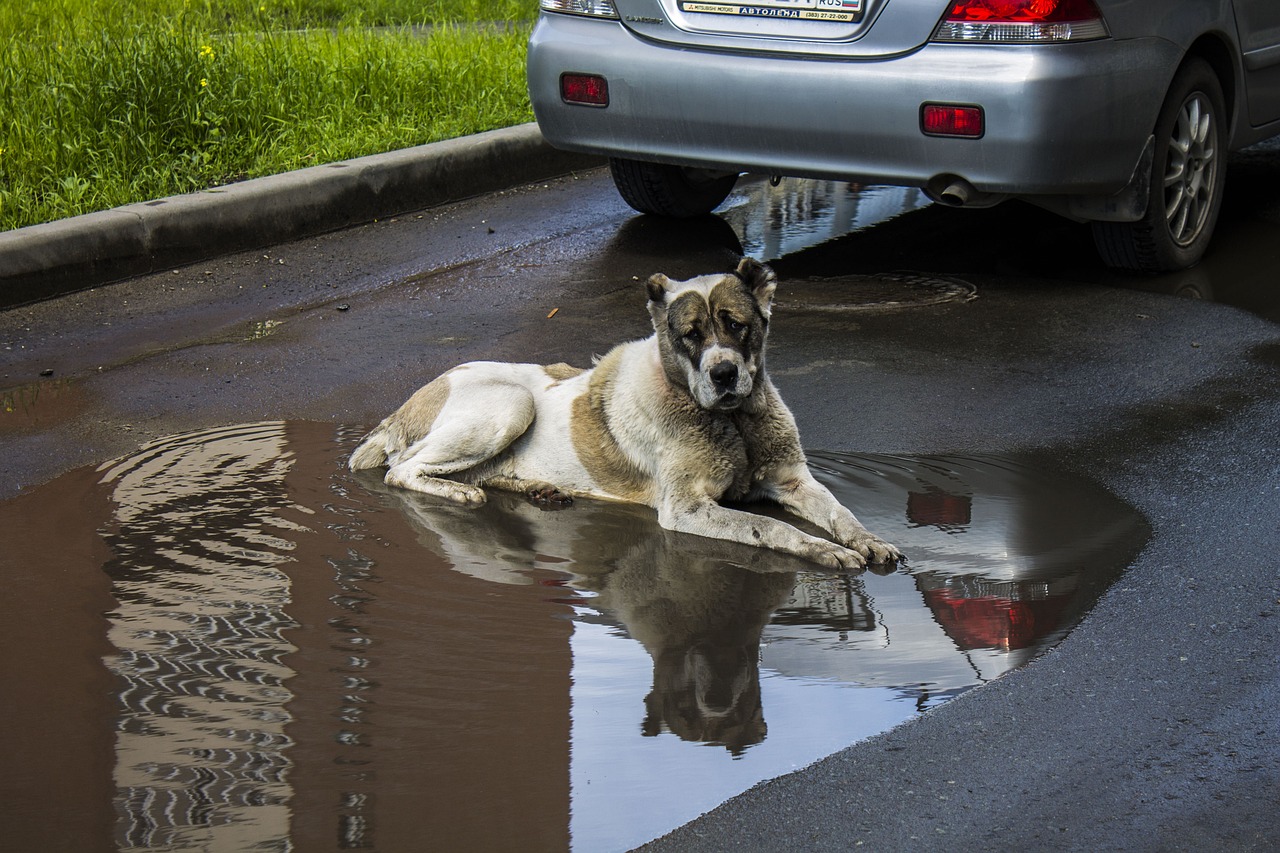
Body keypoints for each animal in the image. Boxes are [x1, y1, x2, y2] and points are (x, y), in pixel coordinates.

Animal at [345, 256, 896, 568]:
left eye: (736, 324)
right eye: (690, 334)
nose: (722, 374)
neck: (732, 421)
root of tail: (413, 398)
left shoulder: (793, 481)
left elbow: (842, 512)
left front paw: (867, 540)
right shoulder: (686, 509)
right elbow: (772, 528)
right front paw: (824, 550)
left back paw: (537, 488)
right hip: (510, 406)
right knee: (403, 469)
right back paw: (458, 493)